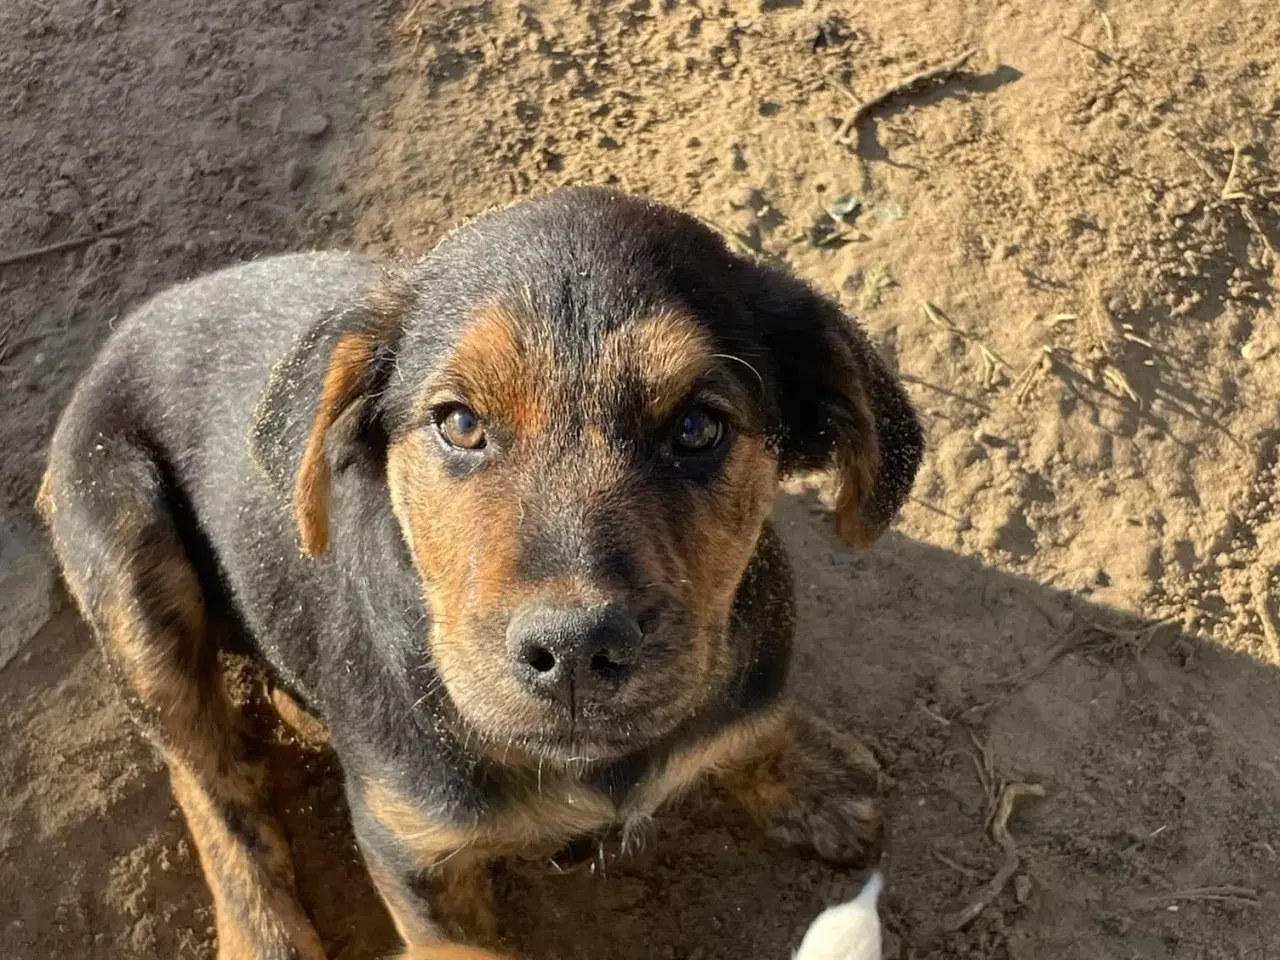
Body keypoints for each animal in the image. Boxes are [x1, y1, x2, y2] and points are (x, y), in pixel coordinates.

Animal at [40, 188, 921, 960]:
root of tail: (138, 320)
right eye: (459, 424)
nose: (575, 652)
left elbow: (753, 722)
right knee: (211, 779)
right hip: (124, 545)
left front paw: (808, 776)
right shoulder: (415, 860)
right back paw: (264, 933)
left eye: (699, 428)